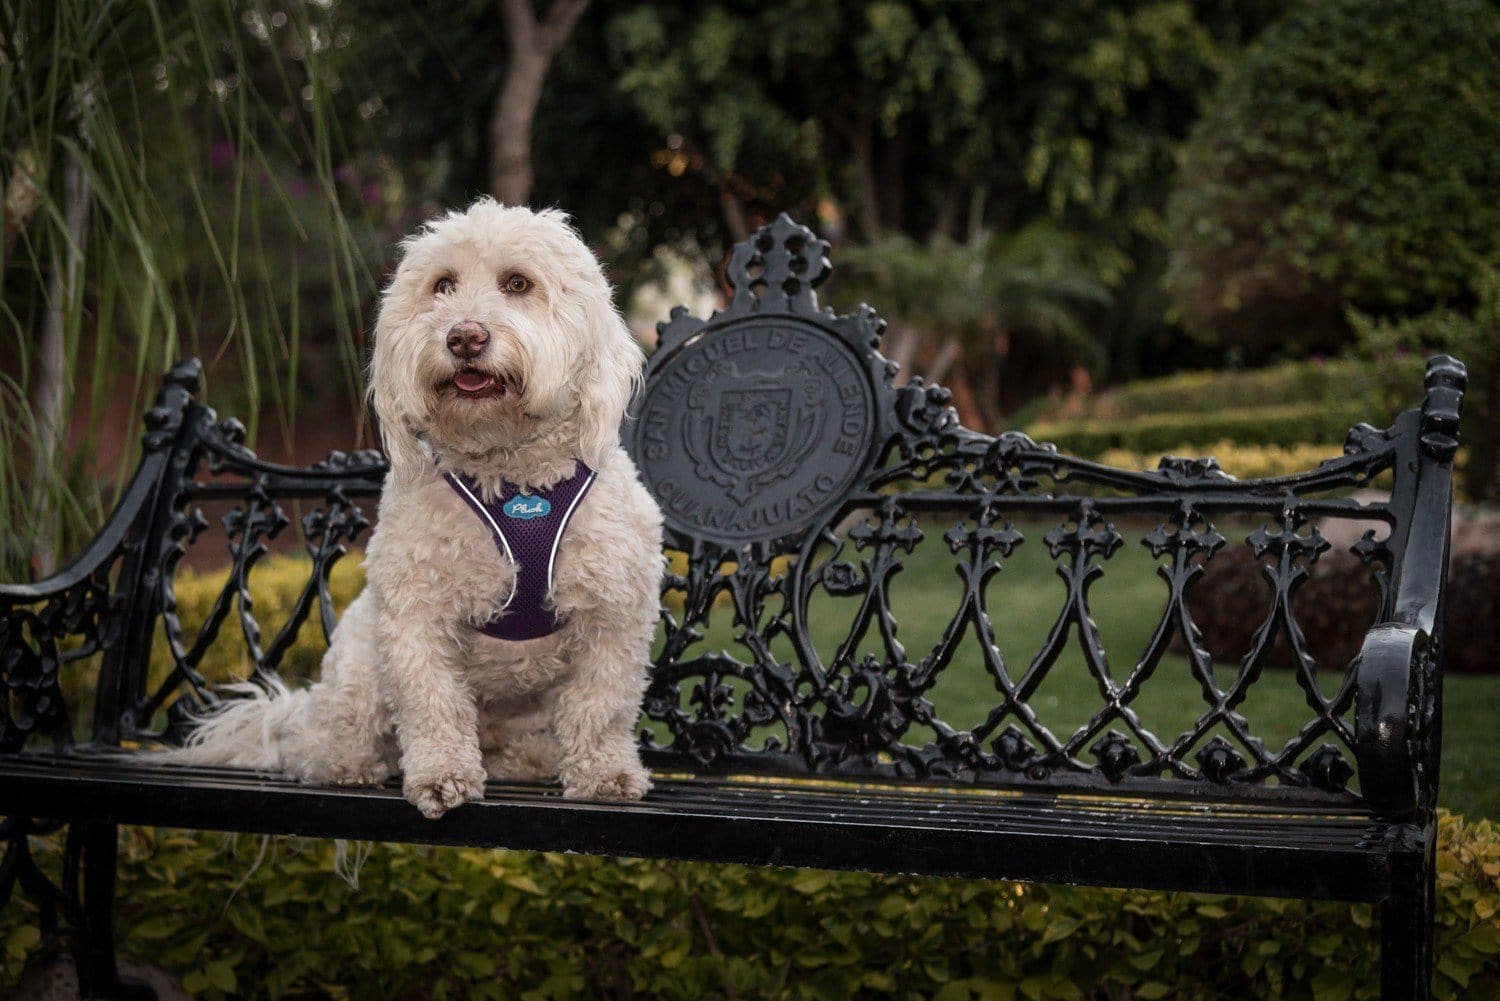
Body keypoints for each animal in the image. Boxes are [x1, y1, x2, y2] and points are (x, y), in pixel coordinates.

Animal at [170, 199, 664, 818]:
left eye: (518, 283)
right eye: (443, 285)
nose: (464, 337)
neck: (513, 479)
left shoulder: (613, 614)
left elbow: (601, 705)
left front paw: (604, 773)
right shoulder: (415, 611)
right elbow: (432, 703)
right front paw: (441, 775)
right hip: (359, 670)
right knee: (320, 742)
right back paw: (349, 764)